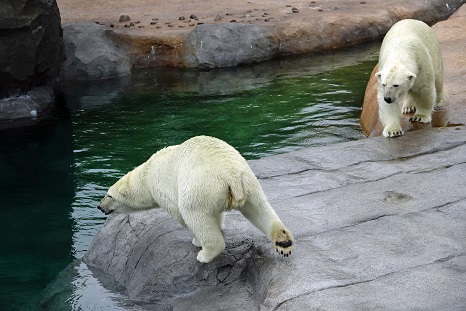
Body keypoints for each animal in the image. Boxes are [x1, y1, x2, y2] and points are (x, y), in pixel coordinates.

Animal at [98, 136, 294, 264]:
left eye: (109, 195)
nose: (100, 206)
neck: (148, 173)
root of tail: (231, 174)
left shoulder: (164, 187)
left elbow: (180, 214)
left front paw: (196, 241)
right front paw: (220, 225)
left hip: (200, 185)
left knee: (194, 214)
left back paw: (205, 254)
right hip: (248, 181)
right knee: (259, 208)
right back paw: (283, 242)